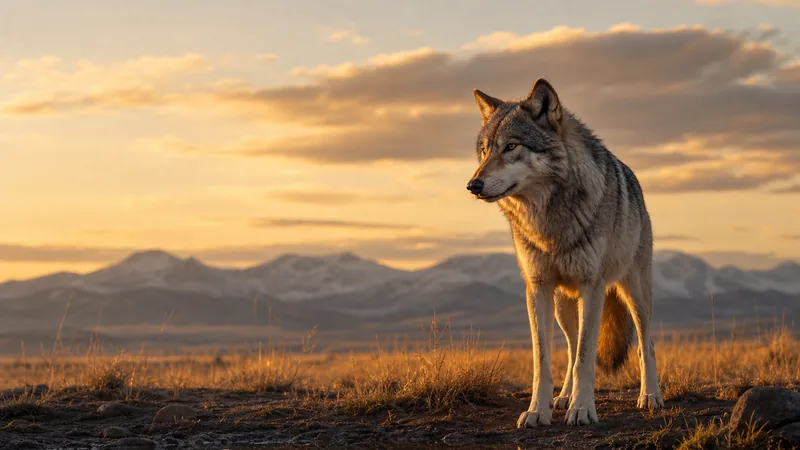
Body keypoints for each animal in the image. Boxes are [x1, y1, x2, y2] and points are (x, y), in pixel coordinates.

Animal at [465, 78, 663, 427]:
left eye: (512, 146)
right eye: (485, 149)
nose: (473, 185)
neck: (549, 223)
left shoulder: (592, 287)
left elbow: (586, 356)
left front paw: (583, 409)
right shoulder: (538, 288)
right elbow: (543, 359)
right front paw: (537, 410)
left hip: (635, 293)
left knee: (645, 343)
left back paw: (650, 396)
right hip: (562, 305)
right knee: (570, 348)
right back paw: (564, 397)